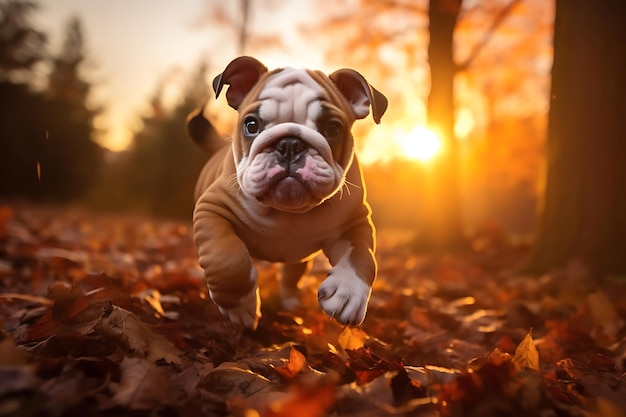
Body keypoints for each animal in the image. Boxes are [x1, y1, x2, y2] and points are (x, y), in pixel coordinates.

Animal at [188, 56, 388, 328]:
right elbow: (228, 259)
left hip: (299, 259)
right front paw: (239, 306)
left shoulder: (354, 223)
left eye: (333, 128)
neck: (287, 211)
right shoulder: (213, 209)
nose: (290, 144)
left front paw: (348, 292)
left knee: (292, 275)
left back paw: (291, 302)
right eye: (251, 125)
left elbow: (362, 255)